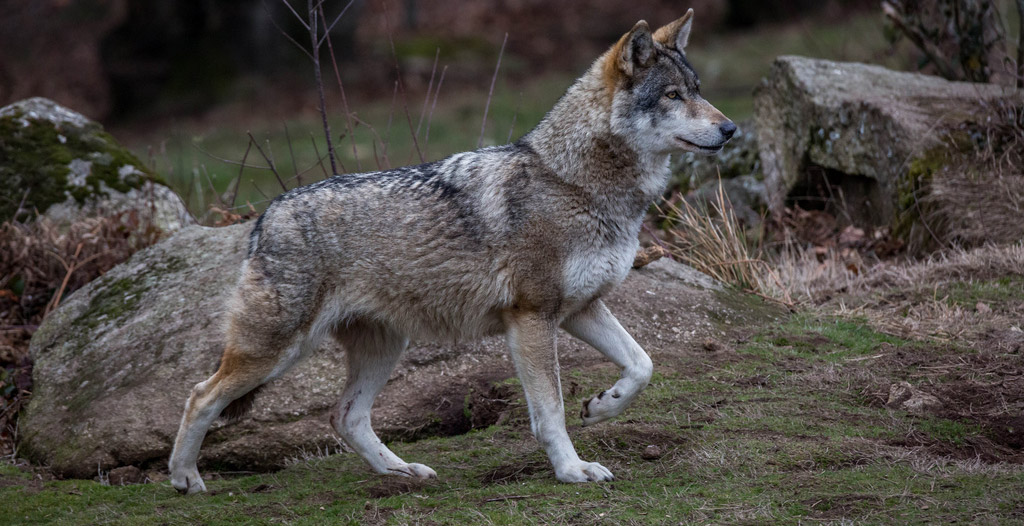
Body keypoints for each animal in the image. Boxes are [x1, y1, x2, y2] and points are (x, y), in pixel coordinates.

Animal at [174, 8, 737, 491]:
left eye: (698, 91)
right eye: (672, 95)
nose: (731, 128)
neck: (575, 183)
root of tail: (266, 215)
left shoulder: (581, 308)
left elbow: (643, 365)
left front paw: (603, 405)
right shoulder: (532, 317)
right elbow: (550, 410)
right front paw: (572, 470)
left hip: (383, 347)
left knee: (345, 415)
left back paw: (401, 472)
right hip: (278, 352)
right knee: (200, 396)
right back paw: (185, 480)